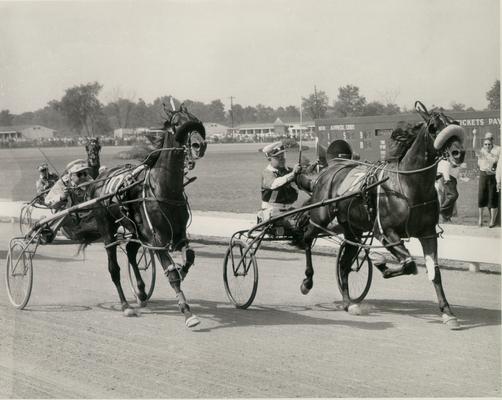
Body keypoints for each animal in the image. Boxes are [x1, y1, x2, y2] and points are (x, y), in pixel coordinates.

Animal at [89, 105, 207, 328]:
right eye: (177, 123)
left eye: (195, 119)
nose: (199, 145)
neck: (164, 189)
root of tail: (99, 178)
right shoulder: (157, 238)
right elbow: (171, 273)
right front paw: (187, 312)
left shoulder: (179, 234)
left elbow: (189, 256)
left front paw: (182, 269)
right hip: (108, 229)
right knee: (114, 268)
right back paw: (126, 306)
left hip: (137, 231)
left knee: (130, 250)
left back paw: (142, 292)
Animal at [298, 101, 466, 330]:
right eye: (433, 128)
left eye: (455, 123)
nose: (459, 153)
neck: (407, 187)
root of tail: (328, 169)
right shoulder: (386, 233)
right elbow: (410, 264)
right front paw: (383, 265)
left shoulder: (428, 233)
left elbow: (434, 271)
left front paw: (448, 312)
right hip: (320, 217)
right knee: (307, 238)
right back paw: (307, 282)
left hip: (353, 230)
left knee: (344, 264)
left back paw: (349, 303)